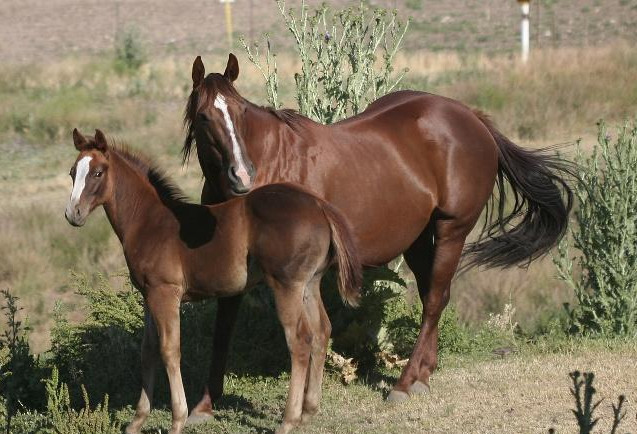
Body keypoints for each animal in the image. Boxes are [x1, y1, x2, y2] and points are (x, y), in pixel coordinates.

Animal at [66, 127, 362, 432]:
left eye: (98, 173)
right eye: (73, 172)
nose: (73, 214)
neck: (148, 221)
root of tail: (319, 205)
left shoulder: (166, 294)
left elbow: (170, 350)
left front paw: (178, 419)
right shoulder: (148, 295)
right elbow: (148, 351)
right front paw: (136, 422)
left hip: (286, 285)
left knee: (300, 340)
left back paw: (288, 420)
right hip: (309, 284)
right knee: (321, 331)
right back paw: (309, 411)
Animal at [181, 53, 572, 414]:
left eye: (240, 112)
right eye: (204, 117)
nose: (241, 176)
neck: (271, 166)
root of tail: (472, 118)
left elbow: (304, 332)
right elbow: (223, 328)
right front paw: (205, 404)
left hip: (452, 230)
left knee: (434, 300)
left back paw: (403, 383)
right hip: (418, 238)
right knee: (435, 296)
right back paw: (423, 376)